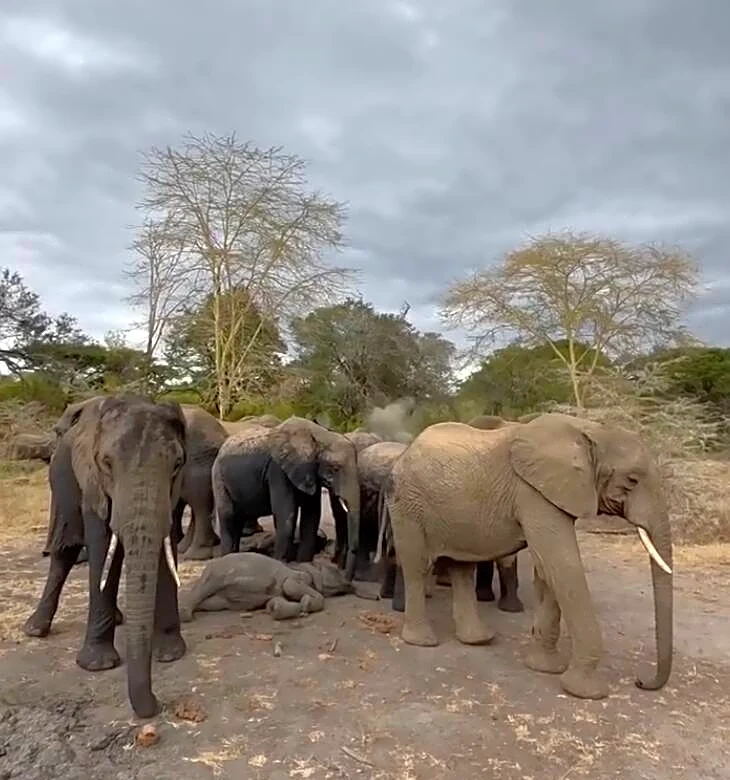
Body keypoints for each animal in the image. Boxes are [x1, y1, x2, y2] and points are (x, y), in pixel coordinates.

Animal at [23, 393, 188, 718]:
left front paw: (170, 654)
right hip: (60, 476)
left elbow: (166, 543)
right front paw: (97, 665)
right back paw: (35, 629)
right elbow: (100, 544)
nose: (157, 704)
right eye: (107, 463)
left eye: (177, 464)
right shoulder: (92, 481)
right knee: (65, 549)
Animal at [212, 416, 361, 578]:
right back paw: (227, 558)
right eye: (335, 468)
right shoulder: (278, 471)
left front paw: (304, 565)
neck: (319, 435)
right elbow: (286, 514)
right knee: (229, 517)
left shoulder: (309, 473)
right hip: (218, 477)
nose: (345, 576)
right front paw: (282, 564)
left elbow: (312, 516)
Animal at [376, 412, 673, 701]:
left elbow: (549, 569)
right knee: (417, 566)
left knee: (462, 568)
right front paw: (587, 692)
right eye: (632, 480)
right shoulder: (533, 493)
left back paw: (478, 640)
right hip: (407, 503)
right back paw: (423, 641)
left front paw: (544, 668)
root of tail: (406, 450)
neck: (589, 431)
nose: (641, 682)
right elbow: (561, 564)